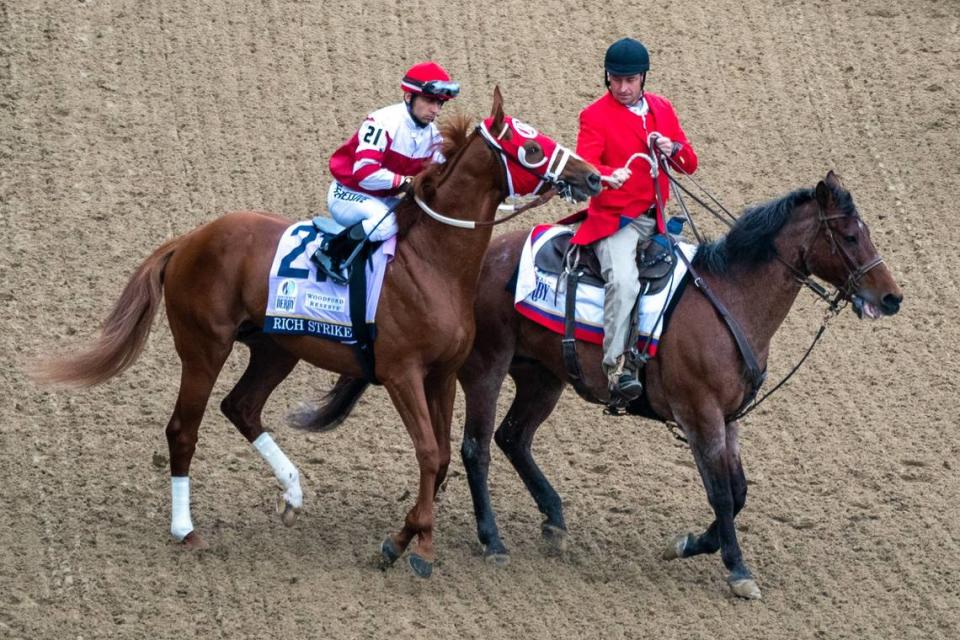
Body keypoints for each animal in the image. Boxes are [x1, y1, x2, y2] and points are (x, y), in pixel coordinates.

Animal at [31, 87, 600, 576]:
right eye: (531, 147)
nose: (592, 178)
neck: (432, 262)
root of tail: (190, 239)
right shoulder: (401, 374)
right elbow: (429, 453)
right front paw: (413, 548)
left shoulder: (441, 375)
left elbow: (439, 459)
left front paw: (409, 544)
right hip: (203, 348)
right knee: (182, 430)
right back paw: (185, 529)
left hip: (276, 348)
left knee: (241, 407)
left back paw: (292, 493)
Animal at [314, 170, 900, 596]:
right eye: (850, 234)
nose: (891, 297)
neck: (729, 299)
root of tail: (474, 264)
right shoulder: (700, 416)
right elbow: (721, 493)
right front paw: (737, 570)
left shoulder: (729, 419)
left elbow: (737, 492)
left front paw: (689, 544)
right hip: (486, 369)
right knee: (477, 446)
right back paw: (493, 539)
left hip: (543, 377)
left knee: (512, 438)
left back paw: (553, 519)